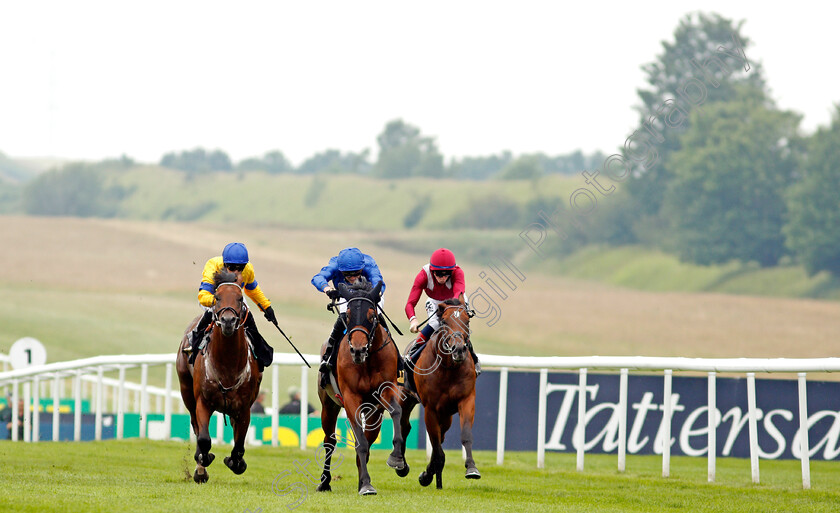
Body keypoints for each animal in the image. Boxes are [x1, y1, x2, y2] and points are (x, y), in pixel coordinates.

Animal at [174, 270, 260, 482]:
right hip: (187, 393)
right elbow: (204, 439)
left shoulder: (244, 407)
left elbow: (239, 444)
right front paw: (202, 462)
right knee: (196, 426)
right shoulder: (203, 402)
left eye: (240, 298)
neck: (228, 365)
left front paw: (236, 462)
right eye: (217, 297)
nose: (228, 321)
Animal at [316, 280, 406, 496]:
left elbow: (396, 412)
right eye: (347, 315)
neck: (368, 360)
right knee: (330, 441)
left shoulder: (387, 389)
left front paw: (397, 459)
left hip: (374, 413)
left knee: (369, 438)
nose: (357, 350)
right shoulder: (351, 397)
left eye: (372, 315)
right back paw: (325, 482)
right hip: (329, 405)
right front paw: (365, 485)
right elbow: (360, 443)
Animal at [396, 296, 480, 488]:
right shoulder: (430, 409)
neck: (448, 368)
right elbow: (436, 446)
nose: (459, 350)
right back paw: (401, 465)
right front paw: (429, 474)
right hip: (406, 398)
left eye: (467, 321)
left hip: (446, 414)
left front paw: (471, 468)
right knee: (404, 425)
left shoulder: (466, 400)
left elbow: (464, 435)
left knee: (439, 435)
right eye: (445, 321)